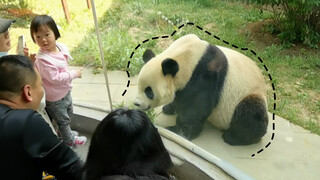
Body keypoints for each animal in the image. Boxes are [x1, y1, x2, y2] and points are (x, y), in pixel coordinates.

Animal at [134, 33, 268, 146]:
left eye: (149, 91)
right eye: (139, 86)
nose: (137, 103)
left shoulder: (205, 77)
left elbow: (194, 109)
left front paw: (179, 131)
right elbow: (180, 98)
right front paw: (169, 108)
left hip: (247, 94)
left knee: (250, 114)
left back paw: (233, 137)